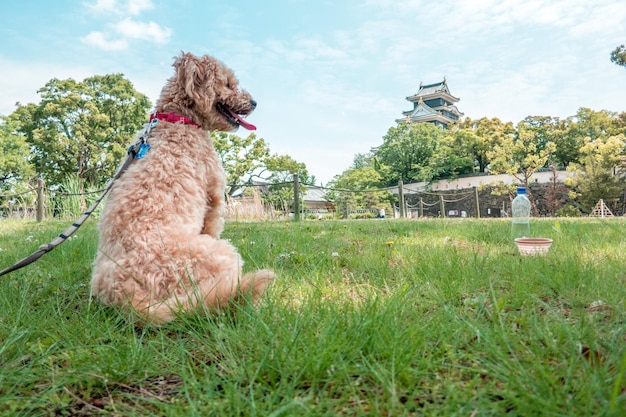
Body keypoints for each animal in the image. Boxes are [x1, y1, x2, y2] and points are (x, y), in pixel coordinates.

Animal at [89, 52, 272, 324]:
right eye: (228, 84)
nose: (255, 102)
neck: (177, 120)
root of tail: (126, 295)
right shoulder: (214, 197)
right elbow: (213, 222)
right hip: (220, 255)